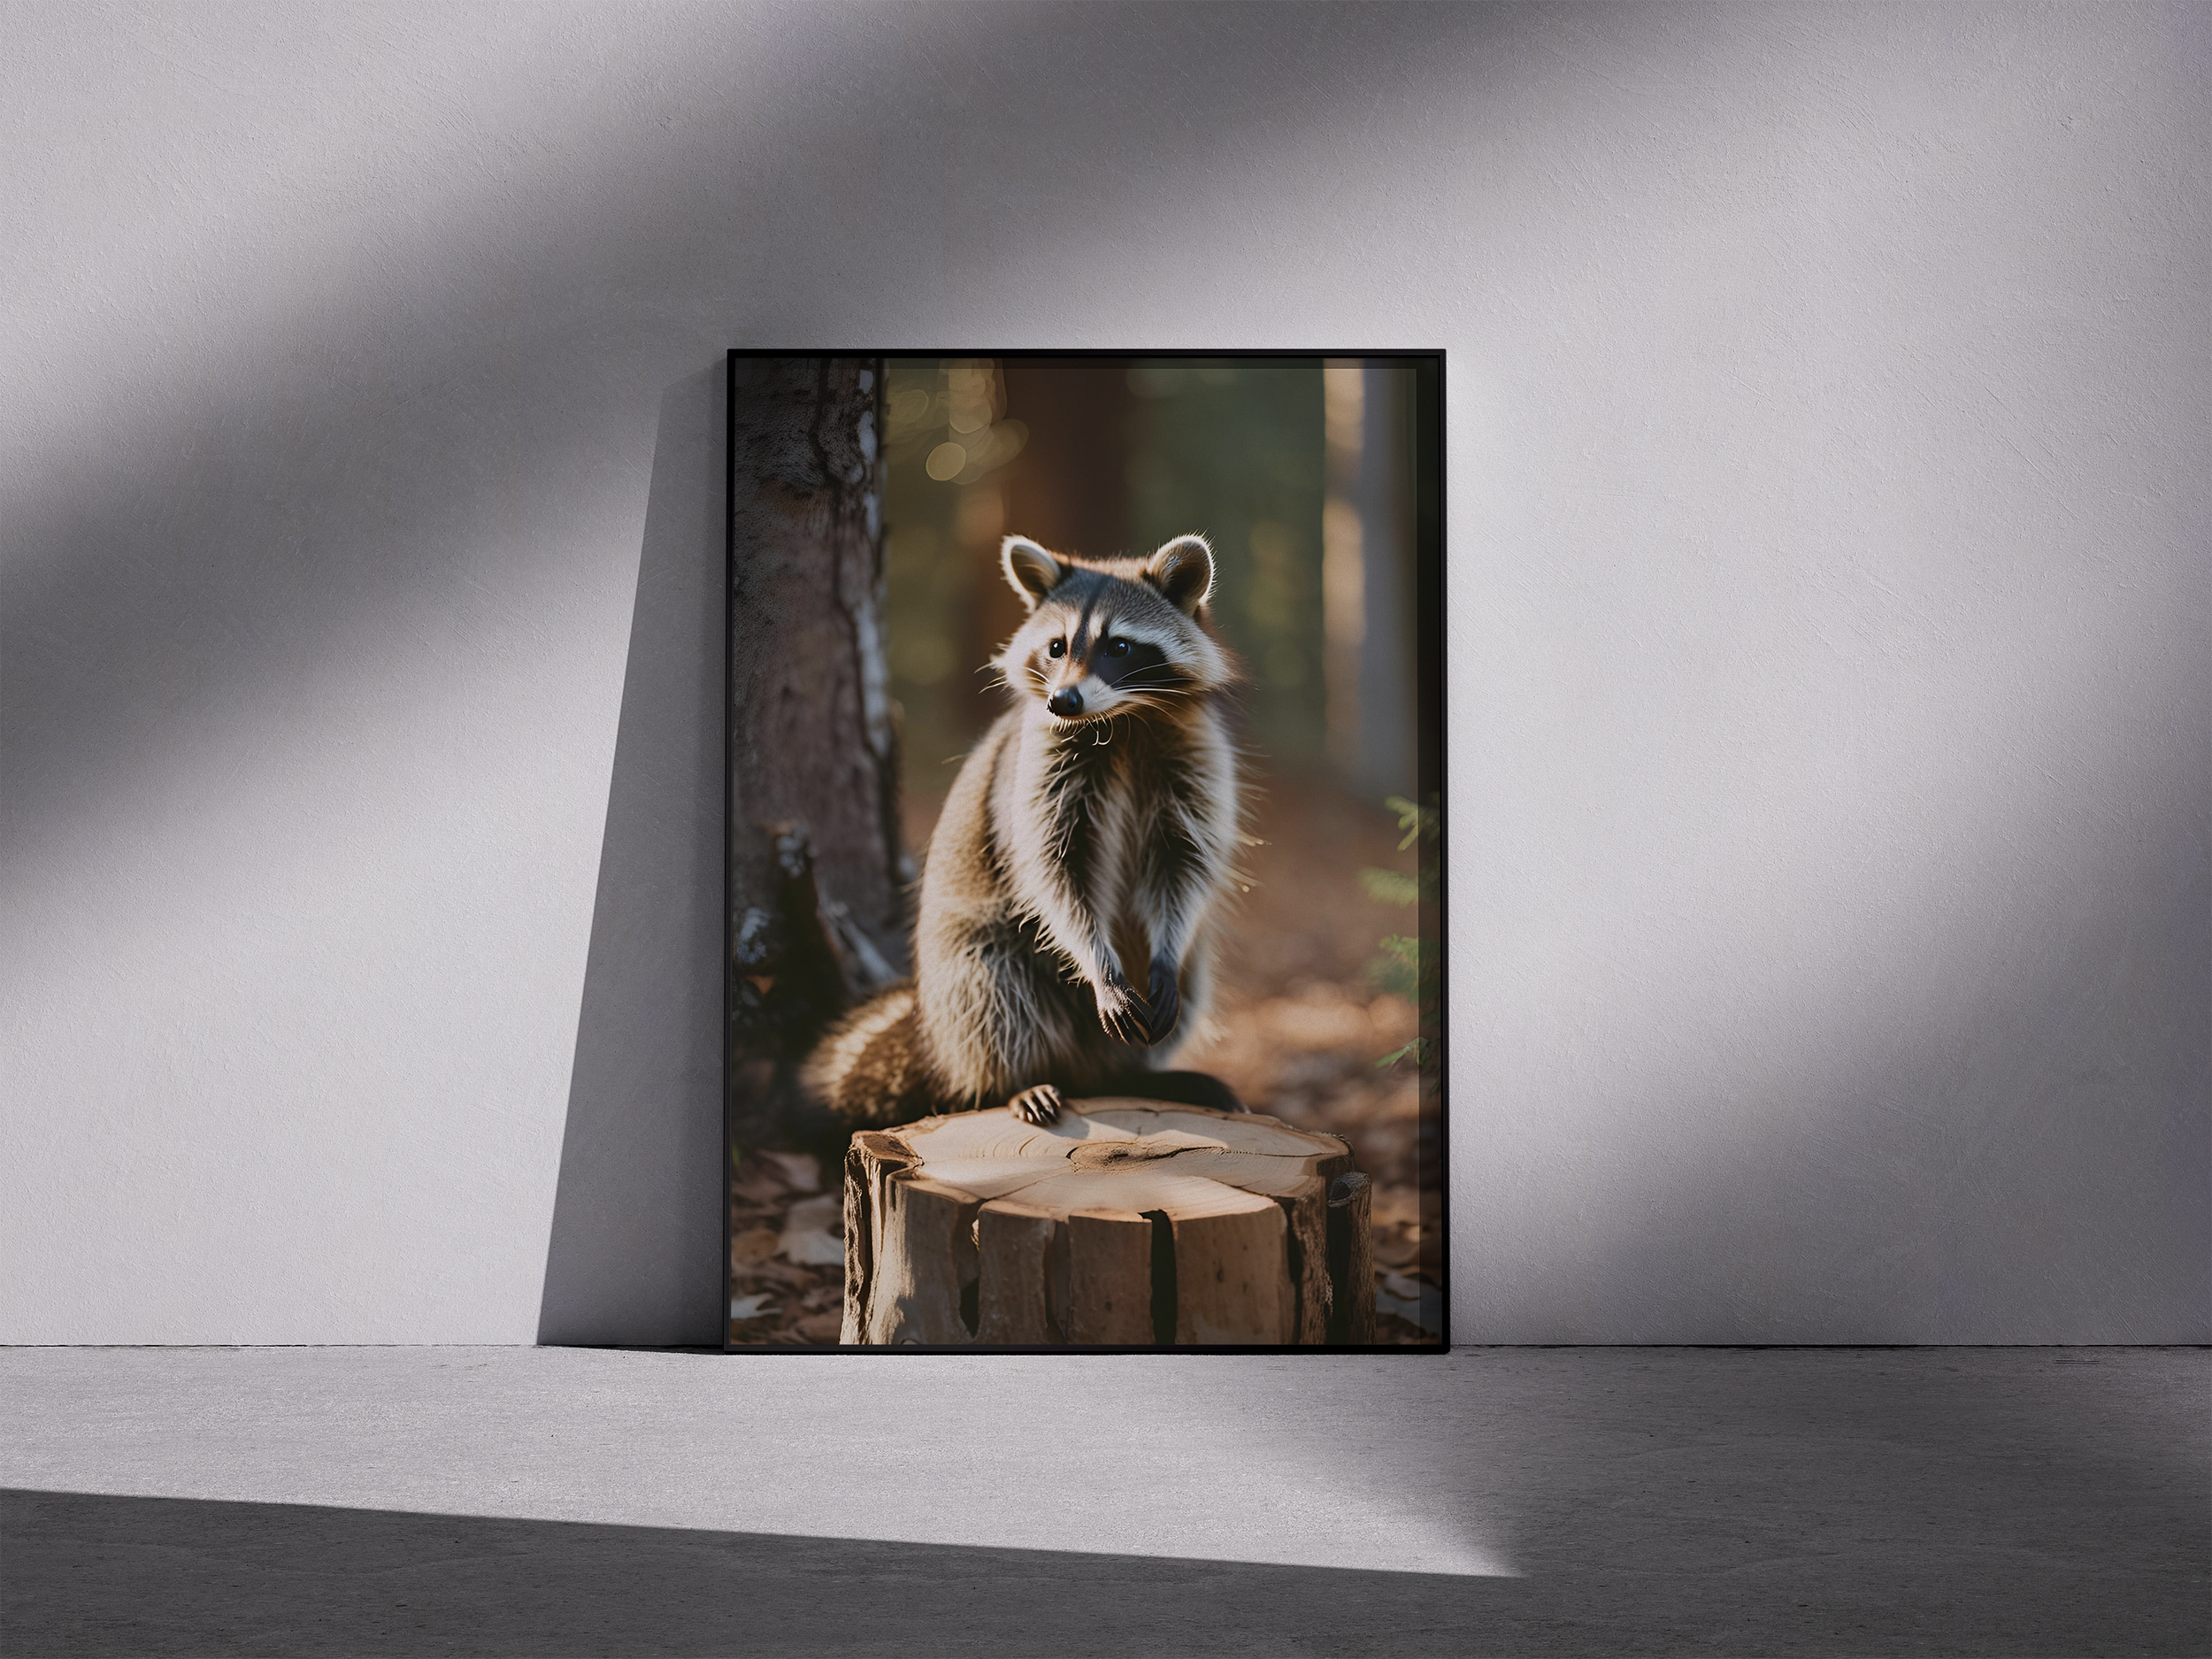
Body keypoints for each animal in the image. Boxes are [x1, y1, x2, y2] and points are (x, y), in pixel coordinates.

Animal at [802, 531, 1245, 1128]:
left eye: (1119, 647)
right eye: (1057, 647)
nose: (1063, 700)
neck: (1118, 722)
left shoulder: (1193, 753)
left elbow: (1184, 863)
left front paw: (1166, 951)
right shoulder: (1033, 766)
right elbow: (1054, 872)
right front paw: (1100, 967)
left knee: (1191, 974)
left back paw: (1132, 1073)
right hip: (969, 959)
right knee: (991, 989)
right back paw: (1013, 1082)